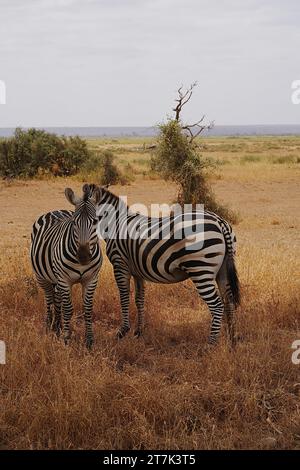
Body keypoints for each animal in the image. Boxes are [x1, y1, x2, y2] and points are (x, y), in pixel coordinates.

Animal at [30, 184, 102, 348]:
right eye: (74, 222)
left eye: (95, 222)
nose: (83, 256)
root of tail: (55, 210)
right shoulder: (64, 279)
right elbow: (68, 309)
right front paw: (66, 340)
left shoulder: (91, 280)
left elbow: (88, 309)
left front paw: (89, 341)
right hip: (41, 277)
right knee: (49, 298)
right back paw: (49, 326)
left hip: (56, 279)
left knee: (57, 299)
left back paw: (57, 326)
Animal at [92, 185, 240, 346]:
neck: (116, 225)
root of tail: (220, 221)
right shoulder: (137, 271)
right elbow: (139, 299)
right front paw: (139, 332)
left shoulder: (120, 264)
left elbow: (124, 297)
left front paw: (122, 332)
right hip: (223, 270)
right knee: (229, 301)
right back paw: (232, 340)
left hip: (201, 269)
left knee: (217, 305)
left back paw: (211, 345)